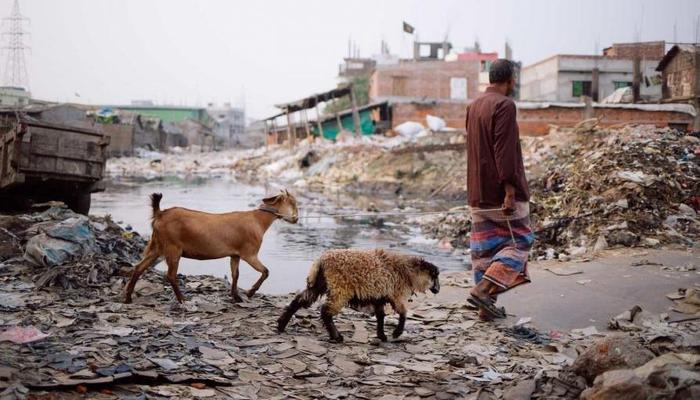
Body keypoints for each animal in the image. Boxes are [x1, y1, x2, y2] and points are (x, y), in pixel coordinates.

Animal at [123, 191, 298, 304]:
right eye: (293, 202)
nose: (296, 218)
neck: (258, 220)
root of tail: (160, 214)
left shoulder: (235, 254)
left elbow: (235, 274)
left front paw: (236, 297)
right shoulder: (249, 253)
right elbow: (266, 271)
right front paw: (250, 292)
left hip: (157, 246)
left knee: (138, 268)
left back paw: (128, 298)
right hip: (173, 248)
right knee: (171, 275)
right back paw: (182, 299)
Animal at [276, 248, 440, 342]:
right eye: (435, 276)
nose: (438, 290)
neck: (408, 271)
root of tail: (321, 261)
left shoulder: (379, 296)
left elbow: (381, 316)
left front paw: (382, 335)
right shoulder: (395, 294)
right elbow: (403, 312)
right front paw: (396, 333)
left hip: (319, 284)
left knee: (299, 300)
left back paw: (281, 325)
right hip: (340, 288)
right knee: (326, 311)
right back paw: (336, 336)